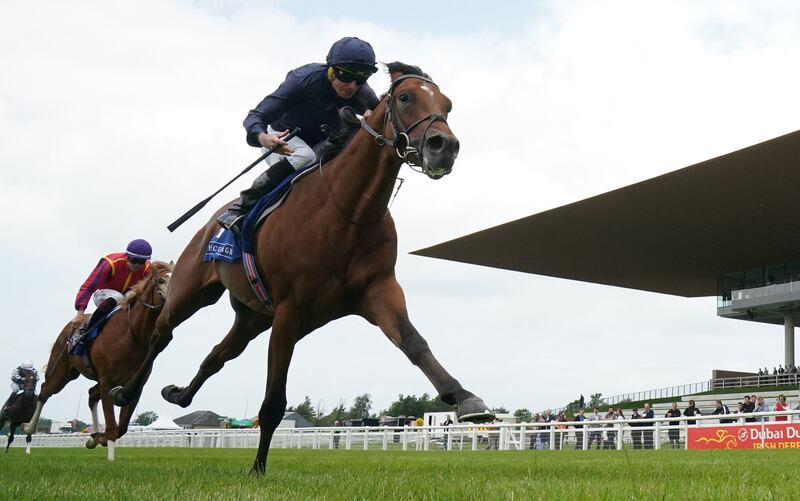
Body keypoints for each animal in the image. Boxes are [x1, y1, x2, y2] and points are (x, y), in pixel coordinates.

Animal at [24, 260, 172, 458]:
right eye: (161, 281)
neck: (131, 334)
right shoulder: (107, 380)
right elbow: (112, 425)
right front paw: (109, 455)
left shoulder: (134, 386)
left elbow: (121, 428)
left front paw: (98, 438)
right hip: (61, 372)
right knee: (45, 391)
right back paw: (29, 429)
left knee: (91, 395)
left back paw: (93, 436)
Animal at [109, 62, 490, 472]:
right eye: (405, 97)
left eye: (447, 105)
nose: (444, 147)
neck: (347, 211)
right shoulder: (290, 311)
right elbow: (273, 403)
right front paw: (257, 469)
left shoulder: (377, 292)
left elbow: (414, 342)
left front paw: (466, 398)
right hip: (191, 292)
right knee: (162, 333)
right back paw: (126, 391)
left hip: (253, 317)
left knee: (217, 355)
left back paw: (178, 394)